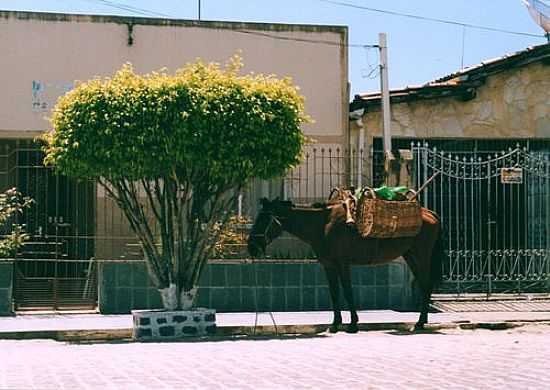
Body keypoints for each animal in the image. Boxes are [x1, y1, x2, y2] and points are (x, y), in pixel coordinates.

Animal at [248, 198, 446, 332]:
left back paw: (419, 322)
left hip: (421, 256)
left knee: (426, 284)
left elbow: (348, 291)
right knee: (424, 284)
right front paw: (335, 324)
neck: (323, 224)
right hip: (411, 256)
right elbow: (334, 293)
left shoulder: (342, 264)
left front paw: (352, 323)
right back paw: (422, 321)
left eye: (264, 220)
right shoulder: (329, 266)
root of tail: (430, 213)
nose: (251, 246)